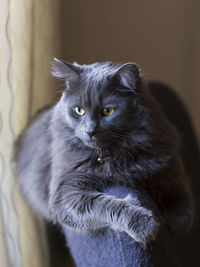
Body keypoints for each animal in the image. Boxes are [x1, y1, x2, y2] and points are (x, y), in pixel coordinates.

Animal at [14, 59, 193, 245]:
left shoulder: (167, 162)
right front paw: (145, 224)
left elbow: (178, 192)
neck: (112, 156)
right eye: (79, 110)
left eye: (108, 111)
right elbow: (106, 205)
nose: (90, 131)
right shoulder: (66, 193)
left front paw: (177, 224)